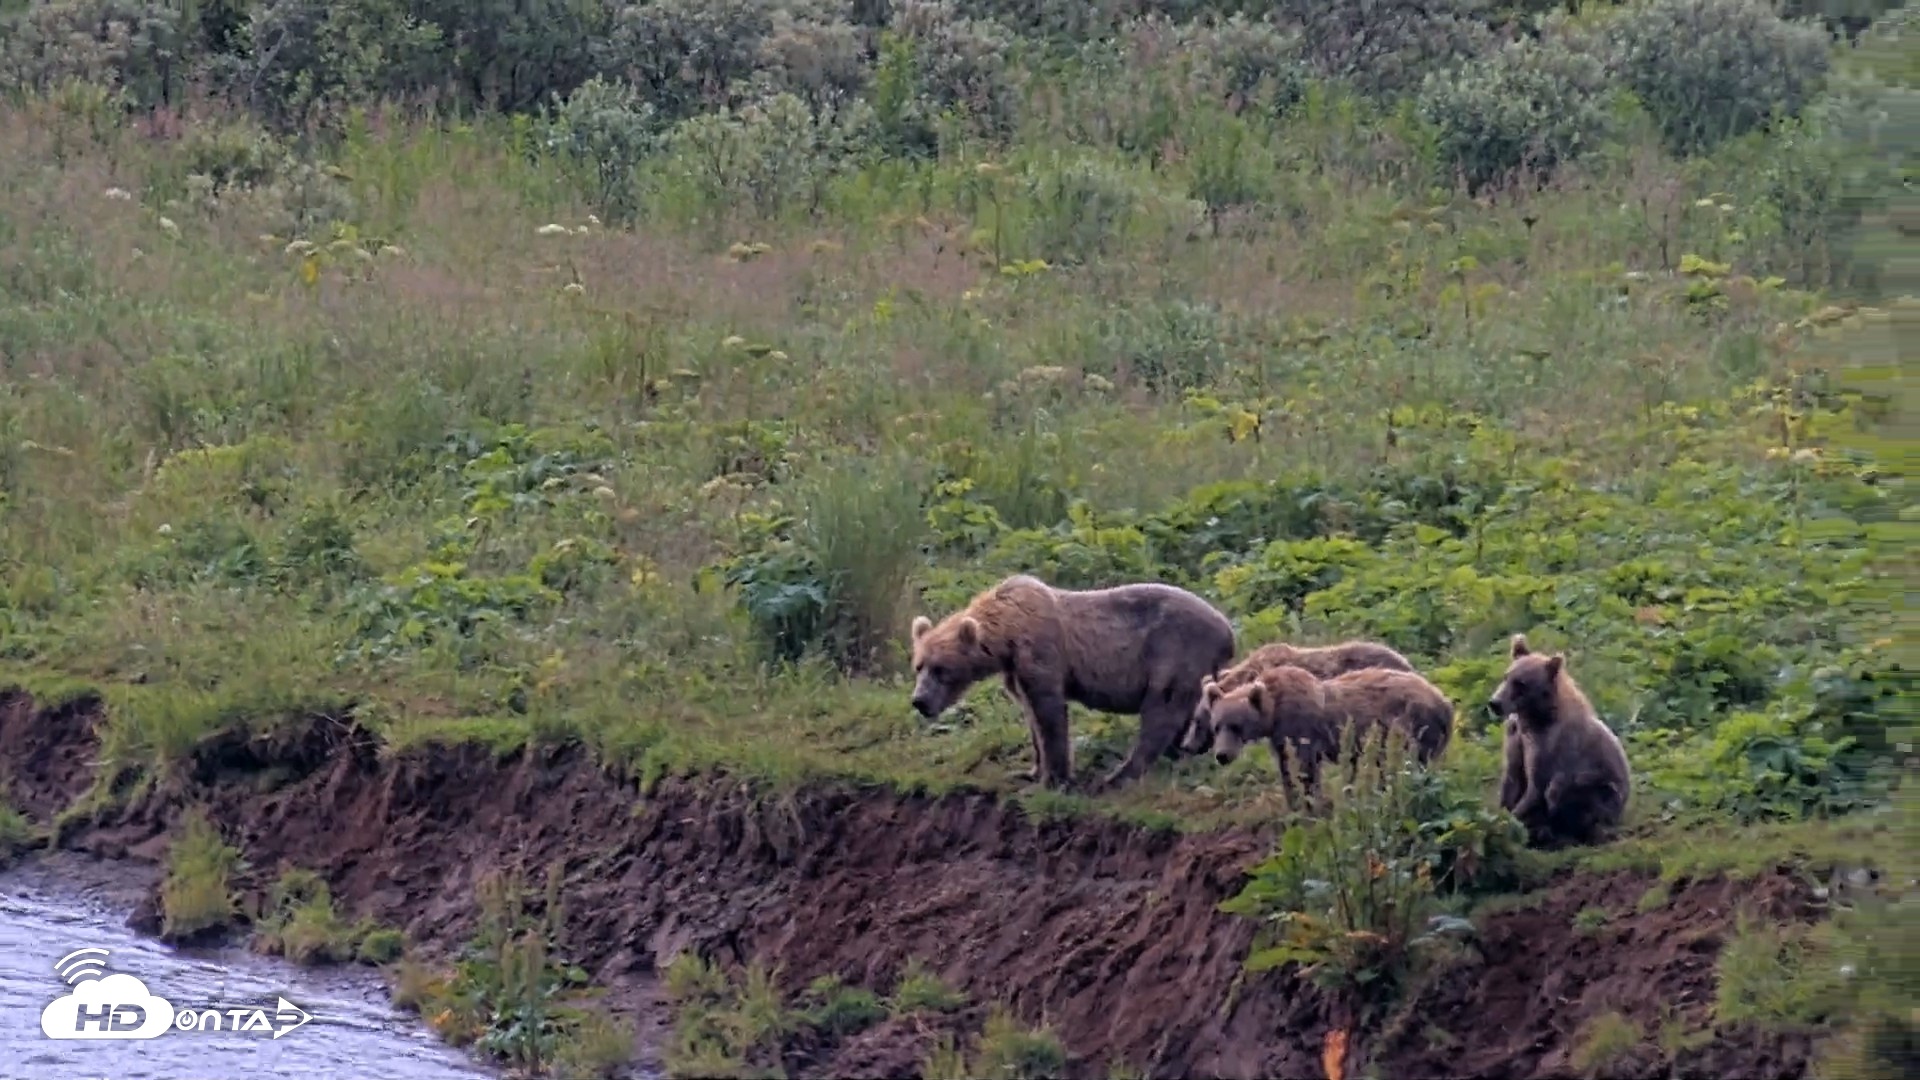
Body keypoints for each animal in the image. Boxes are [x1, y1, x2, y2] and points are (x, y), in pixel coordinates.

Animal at [908, 573, 1236, 791]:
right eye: (919, 666)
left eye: (941, 669)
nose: (919, 701)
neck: (1008, 633)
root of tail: (1228, 630)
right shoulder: (1015, 671)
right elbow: (1031, 713)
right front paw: (1030, 770)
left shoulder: (1041, 653)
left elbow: (1049, 714)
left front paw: (1053, 778)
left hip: (1174, 652)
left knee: (1161, 712)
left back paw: (1118, 775)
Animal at [1204, 663, 1454, 793]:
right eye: (1216, 726)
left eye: (1237, 726)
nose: (1222, 755)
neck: (1274, 710)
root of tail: (1444, 700)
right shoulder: (1279, 738)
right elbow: (1286, 769)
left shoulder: (1300, 729)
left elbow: (1306, 769)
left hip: (1416, 724)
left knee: (1417, 760)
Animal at [1488, 634, 1632, 849]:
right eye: (1506, 676)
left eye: (1521, 684)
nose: (1495, 703)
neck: (1533, 719)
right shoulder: (1517, 739)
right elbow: (1512, 778)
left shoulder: (1550, 746)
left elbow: (1536, 788)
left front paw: (1511, 823)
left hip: (1603, 792)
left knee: (1567, 793)